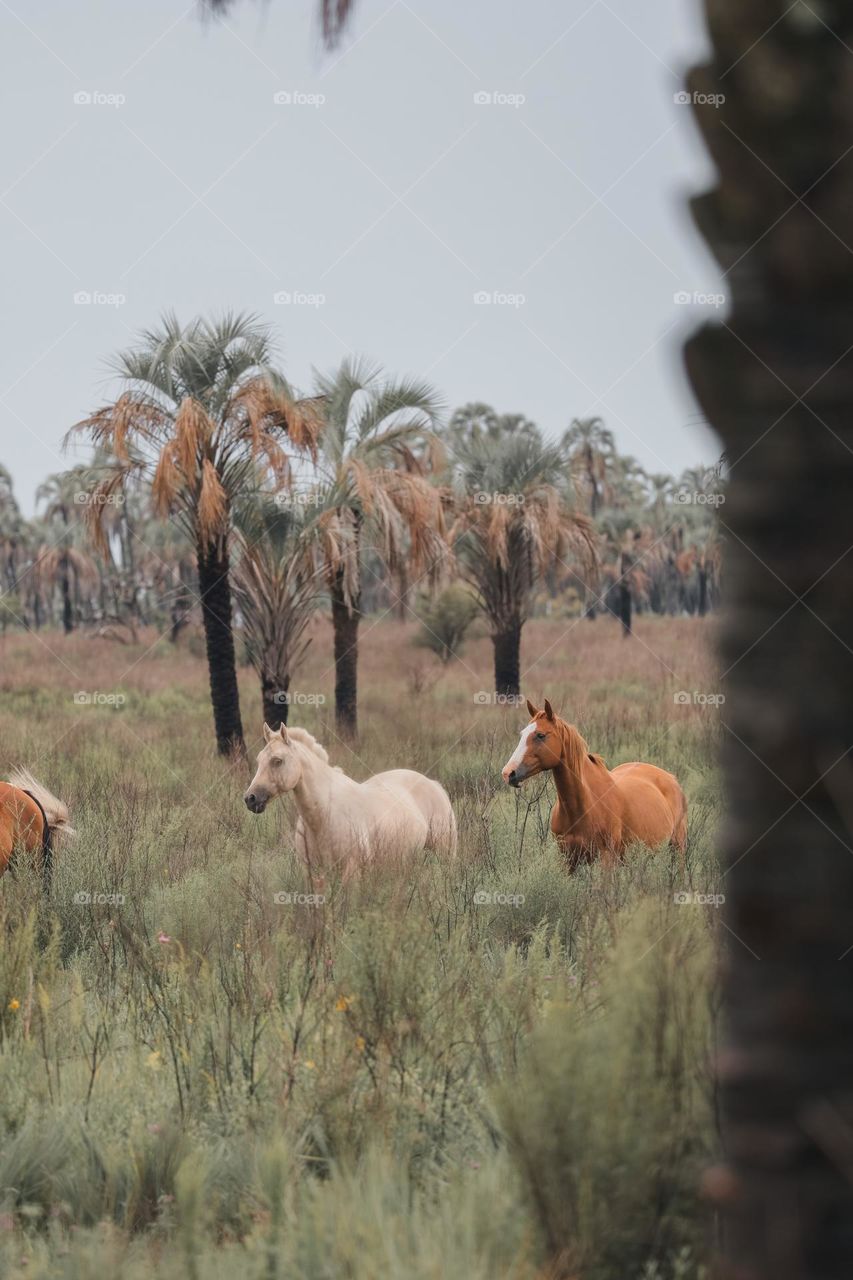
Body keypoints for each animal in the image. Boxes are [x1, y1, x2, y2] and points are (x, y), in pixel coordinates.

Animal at [244, 723, 457, 877]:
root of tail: (434, 785)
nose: (250, 799)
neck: (321, 817)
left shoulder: (351, 870)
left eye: (277, 761)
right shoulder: (314, 872)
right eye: (259, 760)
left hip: (443, 854)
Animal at [501, 699, 687, 870]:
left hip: (677, 848)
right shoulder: (567, 861)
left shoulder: (606, 859)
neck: (582, 805)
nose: (508, 773)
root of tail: (670, 777)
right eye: (522, 735)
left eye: (540, 735)